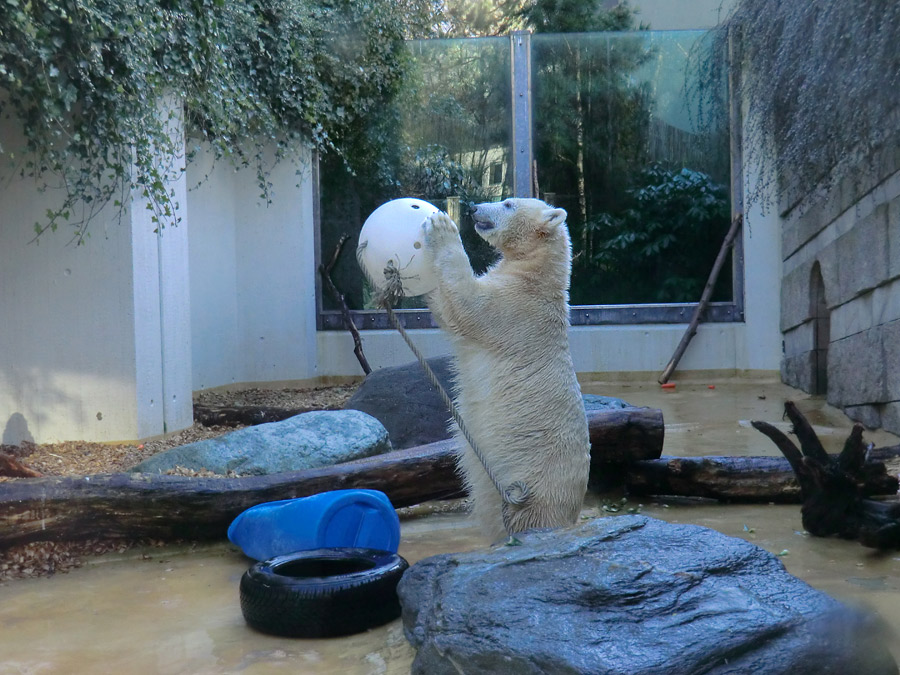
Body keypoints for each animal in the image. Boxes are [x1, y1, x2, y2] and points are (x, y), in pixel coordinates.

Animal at [426, 198, 596, 540]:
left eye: (507, 203)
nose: (474, 207)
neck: (538, 276)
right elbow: (449, 312)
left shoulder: (514, 307)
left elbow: (468, 304)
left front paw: (443, 227)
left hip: (534, 490)